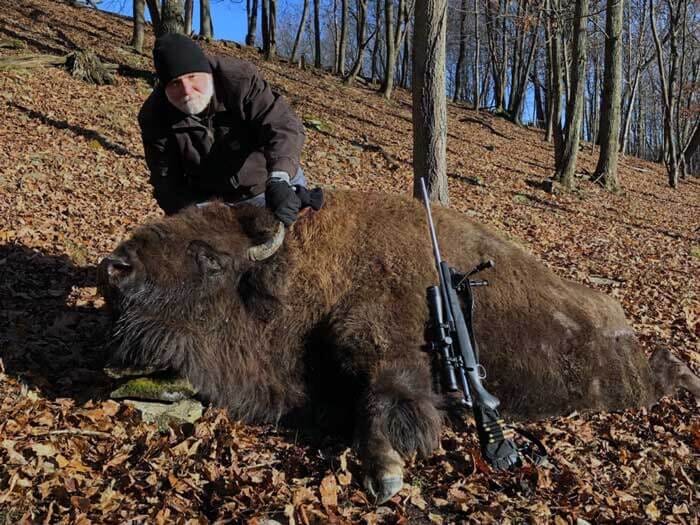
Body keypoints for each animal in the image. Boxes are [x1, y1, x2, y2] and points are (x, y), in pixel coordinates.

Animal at [97, 188, 696, 504]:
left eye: (211, 259)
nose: (115, 268)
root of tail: (618, 316)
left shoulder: (386, 351)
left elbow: (386, 404)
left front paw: (385, 476)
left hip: (625, 381)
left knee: (667, 368)